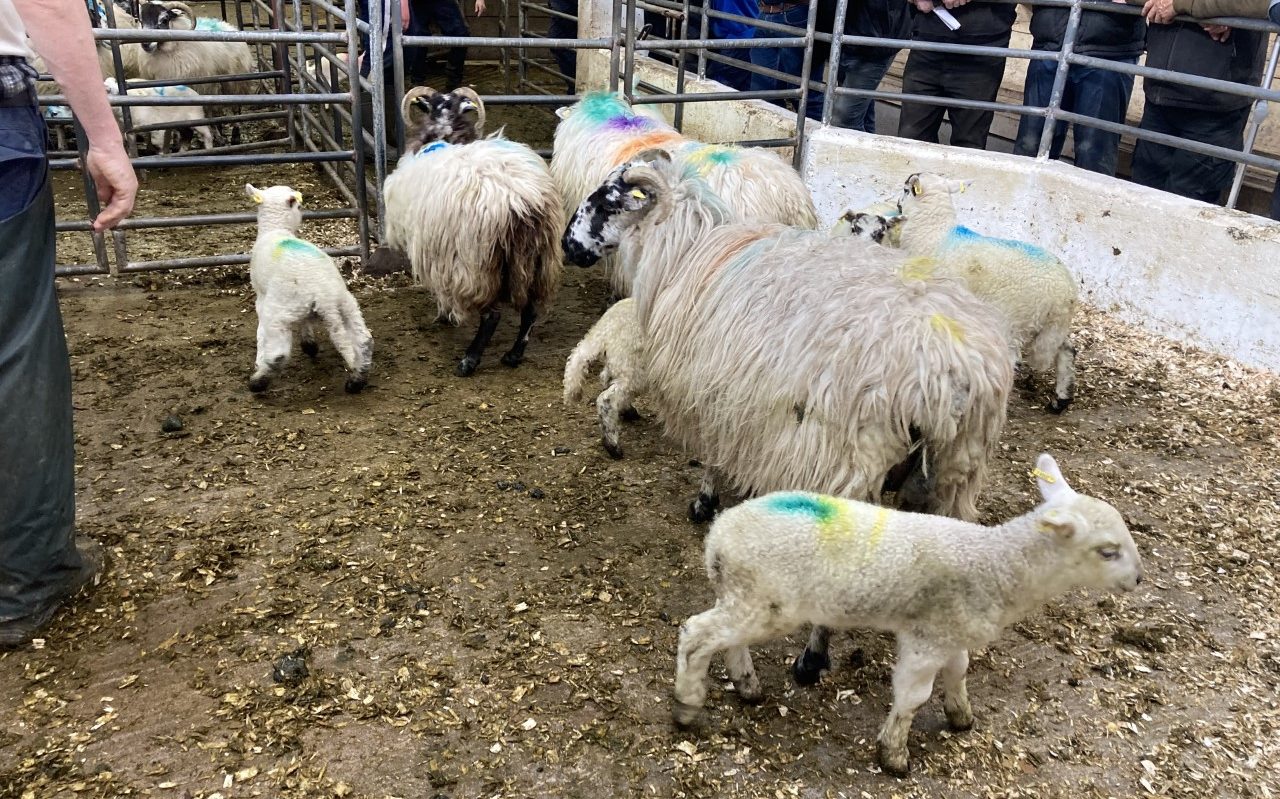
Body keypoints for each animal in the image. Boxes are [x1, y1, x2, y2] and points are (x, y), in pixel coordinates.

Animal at [246, 183, 373, 394]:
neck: (276, 229)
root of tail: (324, 295)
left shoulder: (261, 299)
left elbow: (260, 333)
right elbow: (305, 322)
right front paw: (309, 345)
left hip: (280, 310)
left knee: (279, 353)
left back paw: (258, 381)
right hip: (346, 304)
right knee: (364, 340)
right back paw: (358, 378)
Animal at [383, 88, 564, 377]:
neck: (446, 135)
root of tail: (522, 201)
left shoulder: (438, 255)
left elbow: (441, 293)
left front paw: (444, 316)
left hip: (476, 263)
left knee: (492, 316)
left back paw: (469, 361)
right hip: (538, 260)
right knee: (530, 310)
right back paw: (513, 355)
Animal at [562, 297, 646, 459]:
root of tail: (604, 329)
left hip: (620, 363)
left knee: (607, 380)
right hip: (632, 367)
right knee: (607, 398)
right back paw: (612, 445)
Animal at [673, 453, 1144, 777]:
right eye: (1107, 551)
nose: (1138, 579)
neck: (995, 563)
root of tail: (717, 539)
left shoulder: (951, 631)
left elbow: (959, 672)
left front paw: (961, 717)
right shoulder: (927, 637)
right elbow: (912, 696)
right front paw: (894, 756)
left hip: (749, 596)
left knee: (727, 638)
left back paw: (747, 686)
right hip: (762, 598)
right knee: (696, 634)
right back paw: (686, 706)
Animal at [893, 172, 1080, 413]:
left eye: (906, 190)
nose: (897, 205)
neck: (934, 231)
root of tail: (1065, 294)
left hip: (1013, 321)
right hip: (1053, 328)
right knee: (1067, 350)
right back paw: (1060, 400)